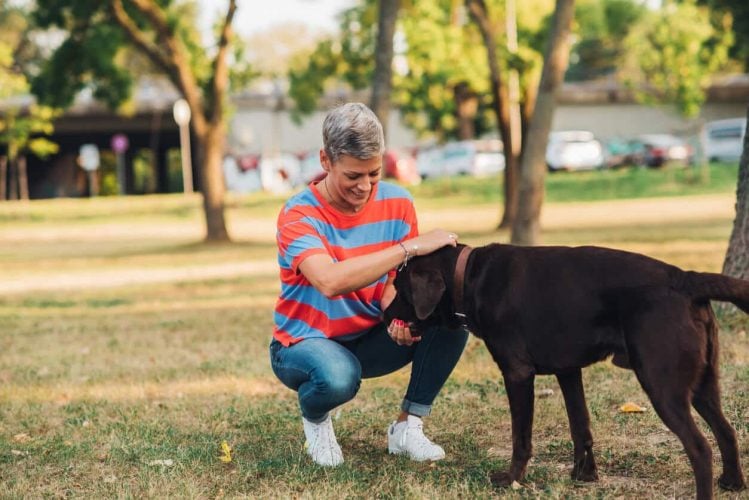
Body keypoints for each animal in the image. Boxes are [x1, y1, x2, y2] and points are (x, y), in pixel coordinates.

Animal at [386, 241, 748, 496]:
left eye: (401, 289)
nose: (383, 313)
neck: (471, 276)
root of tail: (685, 278)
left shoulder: (517, 373)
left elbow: (521, 437)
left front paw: (511, 479)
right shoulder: (569, 371)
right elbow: (580, 427)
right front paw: (584, 476)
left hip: (662, 384)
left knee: (700, 448)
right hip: (703, 385)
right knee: (726, 431)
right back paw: (732, 482)